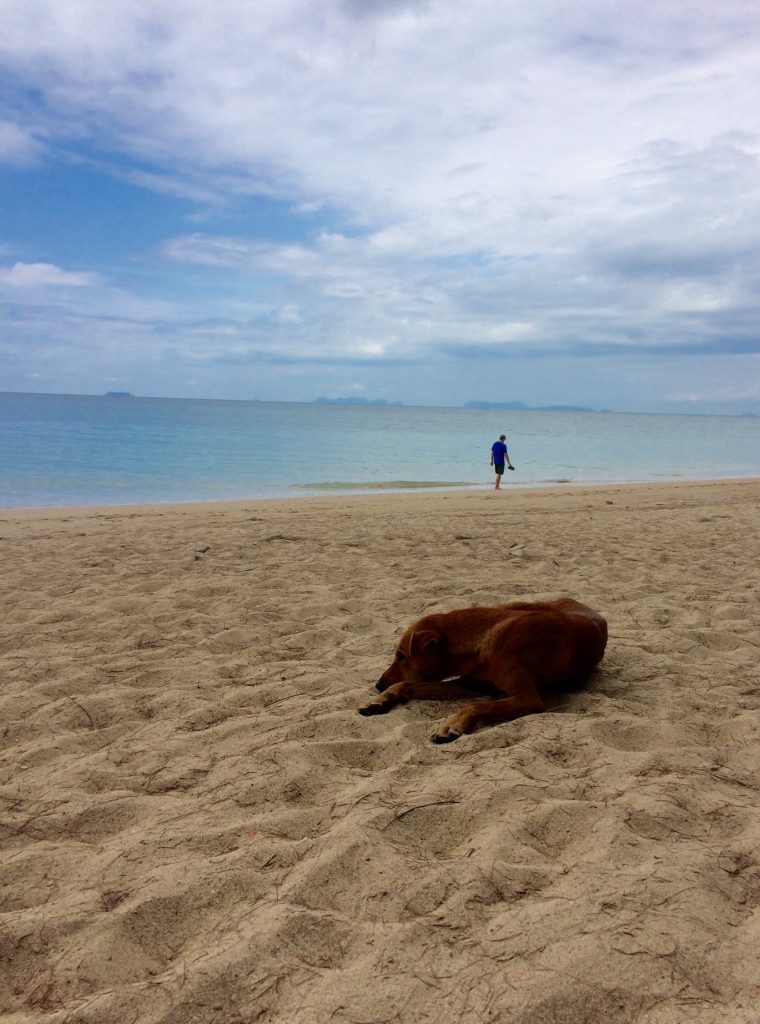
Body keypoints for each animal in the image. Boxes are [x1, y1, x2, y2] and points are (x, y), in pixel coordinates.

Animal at [360, 593, 610, 745]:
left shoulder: (527, 699)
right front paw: (380, 699)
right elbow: (406, 684)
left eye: (401, 656)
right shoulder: (469, 683)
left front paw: (450, 724)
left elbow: (475, 705)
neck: (482, 641)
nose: (378, 684)